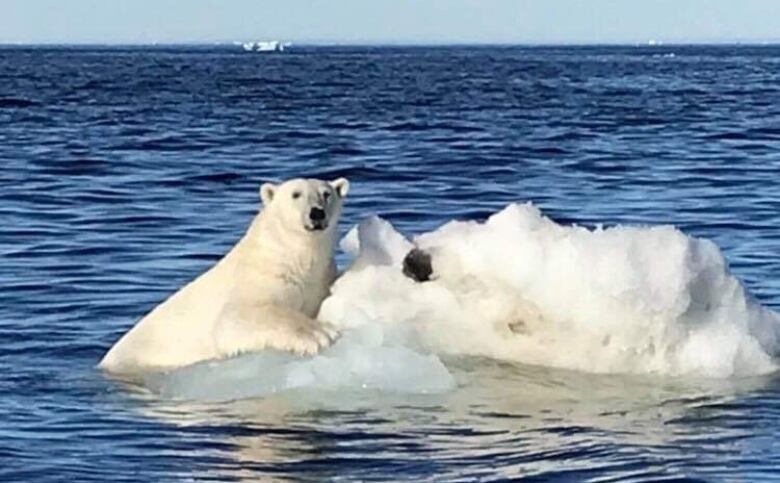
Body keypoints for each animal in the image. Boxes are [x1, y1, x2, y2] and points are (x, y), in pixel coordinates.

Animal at [99, 178, 348, 374]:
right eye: (296, 194)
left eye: (326, 194)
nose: (317, 213)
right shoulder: (259, 277)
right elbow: (236, 319)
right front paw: (320, 334)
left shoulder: (320, 280)